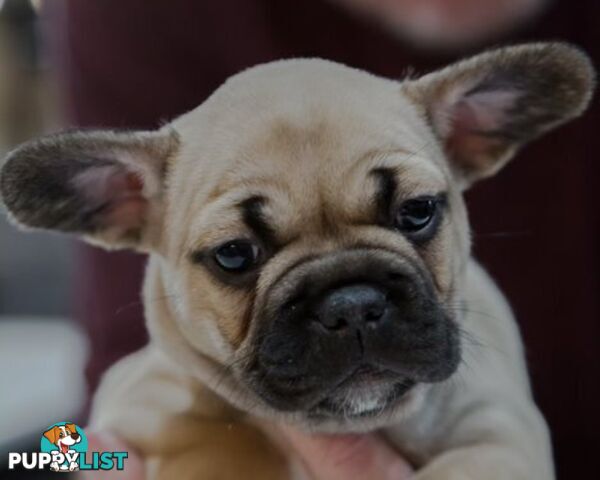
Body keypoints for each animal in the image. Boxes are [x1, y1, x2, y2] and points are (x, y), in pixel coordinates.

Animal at [0, 43, 592, 478]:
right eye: (234, 255)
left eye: (417, 211)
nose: (352, 303)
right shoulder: (144, 396)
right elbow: (227, 440)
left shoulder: (500, 431)